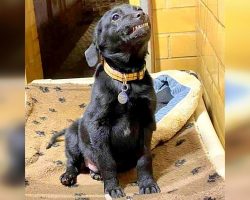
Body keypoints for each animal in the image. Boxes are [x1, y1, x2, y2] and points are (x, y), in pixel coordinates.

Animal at [47, 3, 159, 198]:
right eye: (115, 17)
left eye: (136, 8)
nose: (142, 14)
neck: (125, 78)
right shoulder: (99, 127)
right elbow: (107, 163)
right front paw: (113, 189)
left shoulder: (147, 122)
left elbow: (144, 158)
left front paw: (147, 184)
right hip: (73, 136)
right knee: (72, 163)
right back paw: (68, 176)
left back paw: (95, 174)